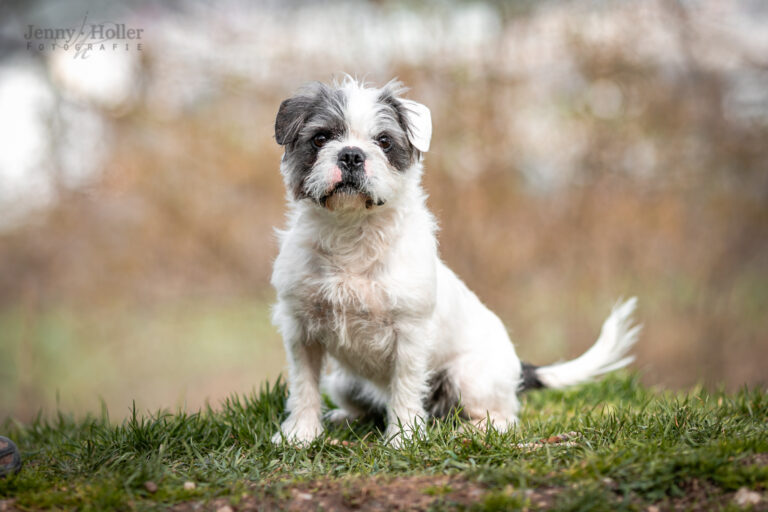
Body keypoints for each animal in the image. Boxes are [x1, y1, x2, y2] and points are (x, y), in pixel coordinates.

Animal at [268, 77, 640, 444]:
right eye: (321, 138)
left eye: (384, 141)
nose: (351, 155)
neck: (351, 232)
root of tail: (519, 368)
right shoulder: (301, 330)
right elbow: (304, 386)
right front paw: (300, 434)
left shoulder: (409, 335)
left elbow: (405, 388)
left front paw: (403, 438)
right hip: (344, 382)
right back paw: (344, 418)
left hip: (468, 378)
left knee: (503, 418)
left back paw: (469, 430)